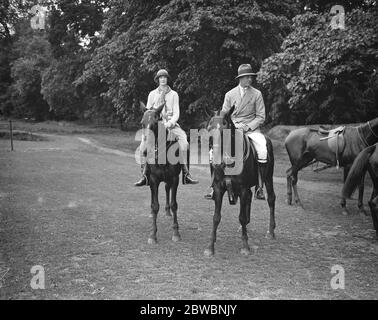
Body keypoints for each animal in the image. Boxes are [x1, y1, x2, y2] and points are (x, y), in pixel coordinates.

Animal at [140, 102, 183, 242]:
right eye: (142, 123)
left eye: (155, 123)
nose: (145, 151)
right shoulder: (154, 180)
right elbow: (155, 206)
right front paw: (153, 235)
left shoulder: (175, 179)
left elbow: (174, 204)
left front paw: (176, 233)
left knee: (167, 189)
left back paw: (168, 212)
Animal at [205, 106, 276, 256]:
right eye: (209, 127)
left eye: (225, 126)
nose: (216, 158)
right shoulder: (219, 188)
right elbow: (216, 217)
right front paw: (210, 247)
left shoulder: (243, 188)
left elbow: (241, 217)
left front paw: (245, 246)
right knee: (249, 199)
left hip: (268, 178)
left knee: (271, 199)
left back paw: (271, 231)